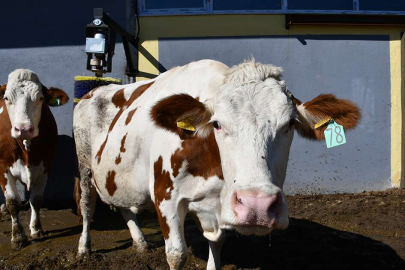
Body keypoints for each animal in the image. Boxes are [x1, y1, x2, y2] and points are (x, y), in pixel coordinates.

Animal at [0, 69, 68, 249]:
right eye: (6, 98)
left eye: (40, 98)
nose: (23, 129)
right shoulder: (3, 168)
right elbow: (12, 202)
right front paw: (18, 237)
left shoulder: (45, 166)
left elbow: (36, 200)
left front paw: (36, 229)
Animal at [73, 60, 360, 268]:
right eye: (217, 124)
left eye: (290, 123)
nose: (257, 205)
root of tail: (94, 90)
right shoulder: (165, 196)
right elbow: (177, 255)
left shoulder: (221, 203)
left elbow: (217, 242)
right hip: (85, 166)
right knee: (87, 206)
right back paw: (84, 248)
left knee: (122, 205)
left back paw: (140, 242)